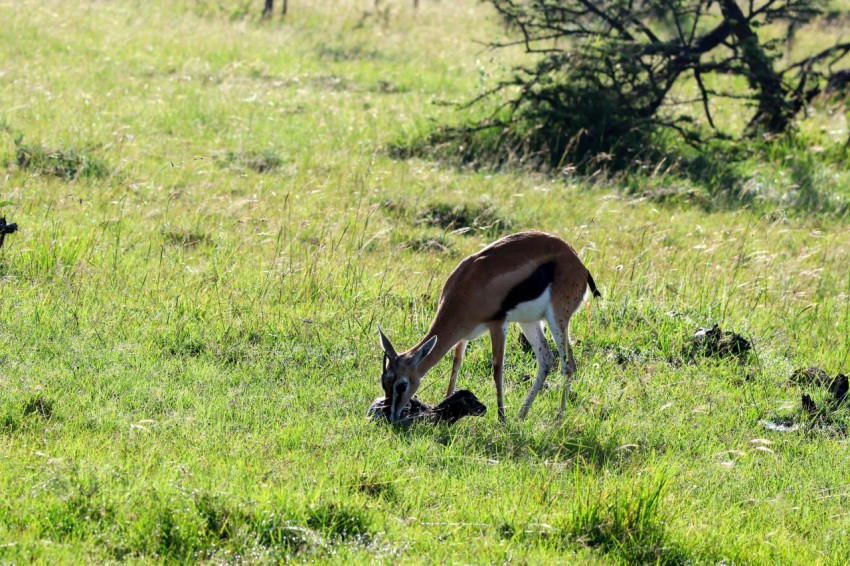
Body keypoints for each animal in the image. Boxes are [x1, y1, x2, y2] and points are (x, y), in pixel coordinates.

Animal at [380, 230, 600, 422]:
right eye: (384, 381)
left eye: (401, 385)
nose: (389, 415)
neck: (465, 290)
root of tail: (577, 262)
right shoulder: (464, 334)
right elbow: (456, 364)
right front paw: (443, 405)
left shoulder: (497, 324)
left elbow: (497, 370)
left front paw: (502, 420)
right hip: (529, 322)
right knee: (546, 359)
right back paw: (522, 416)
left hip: (557, 319)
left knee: (568, 365)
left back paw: (557, 420)